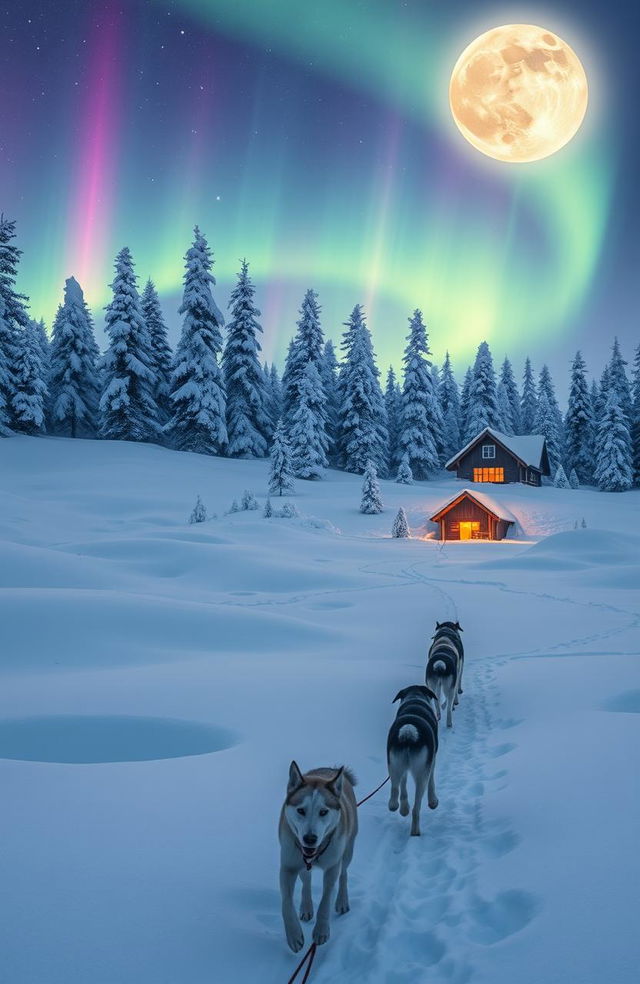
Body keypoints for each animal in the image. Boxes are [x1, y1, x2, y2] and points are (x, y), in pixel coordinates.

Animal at [280, 760, 360, 952]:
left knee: (344, 873)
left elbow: (326, 898)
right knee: (306, 880)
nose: (310, 839)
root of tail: (331, 769)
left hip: (347, 849)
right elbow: (286, 902)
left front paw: (321, 930)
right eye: (301, 810)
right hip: (299, 861)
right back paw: (306, 906)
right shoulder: (288, 865)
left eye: (323, 812)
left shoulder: (332, 867)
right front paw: (293, 935)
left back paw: (342, 900)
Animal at [384, 688, 440, 836]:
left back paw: (396, 806)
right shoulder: (431, 761)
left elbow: (403, 784)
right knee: (416, 808)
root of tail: (408, 732)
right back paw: (415, 831)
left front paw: (404, 808)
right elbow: (432, 780)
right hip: (421, 775)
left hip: (394, 765)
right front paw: (433, 801)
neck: (414, 696)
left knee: (395, 787)